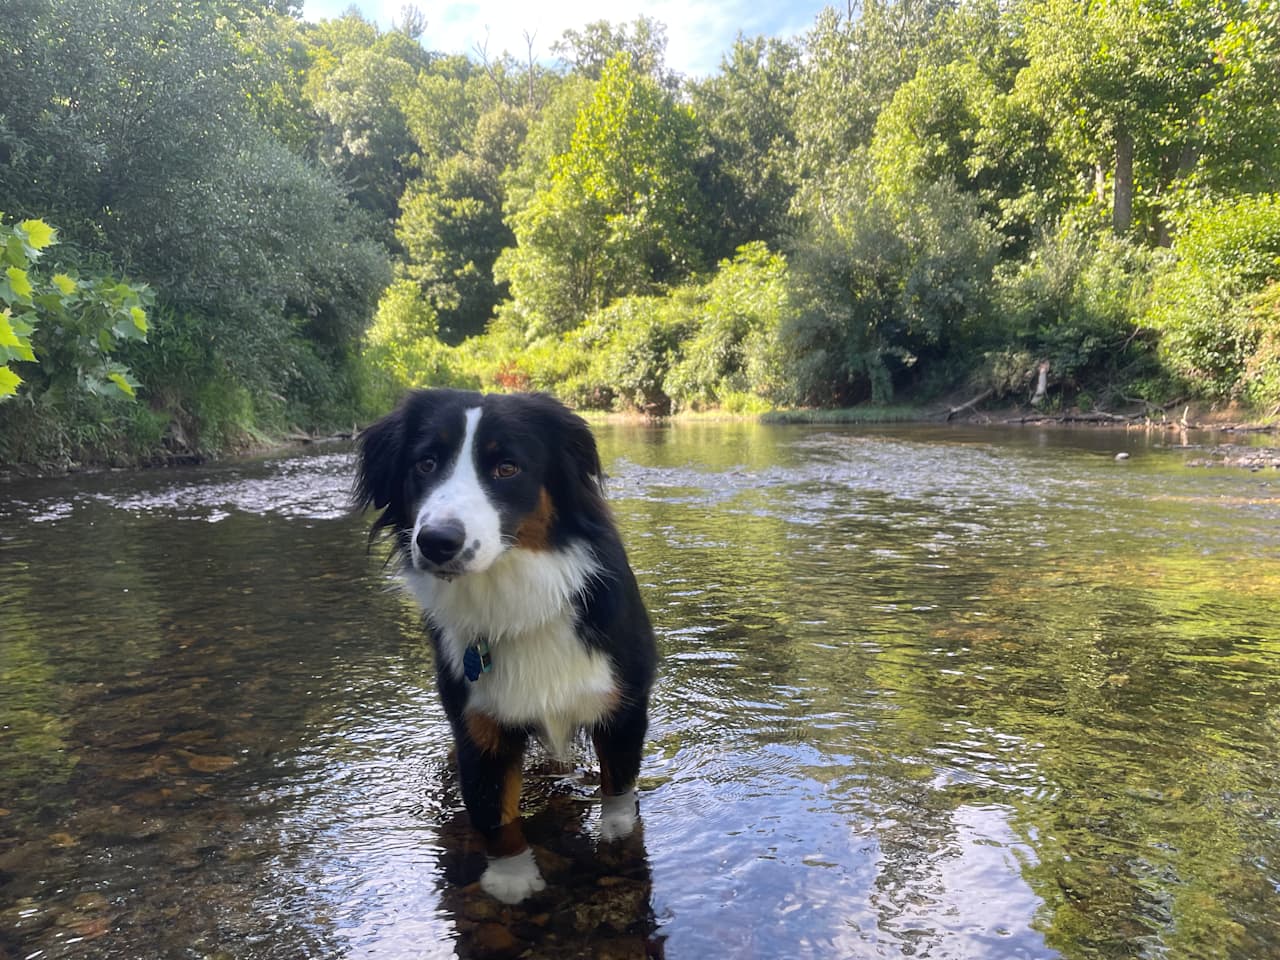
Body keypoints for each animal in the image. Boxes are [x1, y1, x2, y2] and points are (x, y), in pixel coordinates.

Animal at [353, 386, 660, 906]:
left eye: (507, 468)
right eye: (426, 463)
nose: (437, 541)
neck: (516, 600)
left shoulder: (622, 700)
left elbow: (618, 783)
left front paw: (618, 838)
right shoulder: (478, 720)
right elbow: (493, 809)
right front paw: (512, 878)